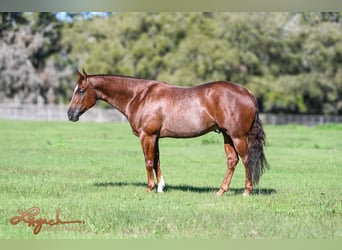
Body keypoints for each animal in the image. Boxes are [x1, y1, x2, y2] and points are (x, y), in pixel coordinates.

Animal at [68, 69, 268, 196]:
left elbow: (148, 161)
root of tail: (249, 94)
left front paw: (149, 188)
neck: (139, 96)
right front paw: (160, 187)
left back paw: (246, 191)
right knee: (232, 161)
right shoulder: (155, 137)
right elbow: (157, 160)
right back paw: (221, 191)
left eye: (81, 90)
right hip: (227, 135)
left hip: (237, 136)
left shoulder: (147, 135)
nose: (70, 114)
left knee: (246, 159)